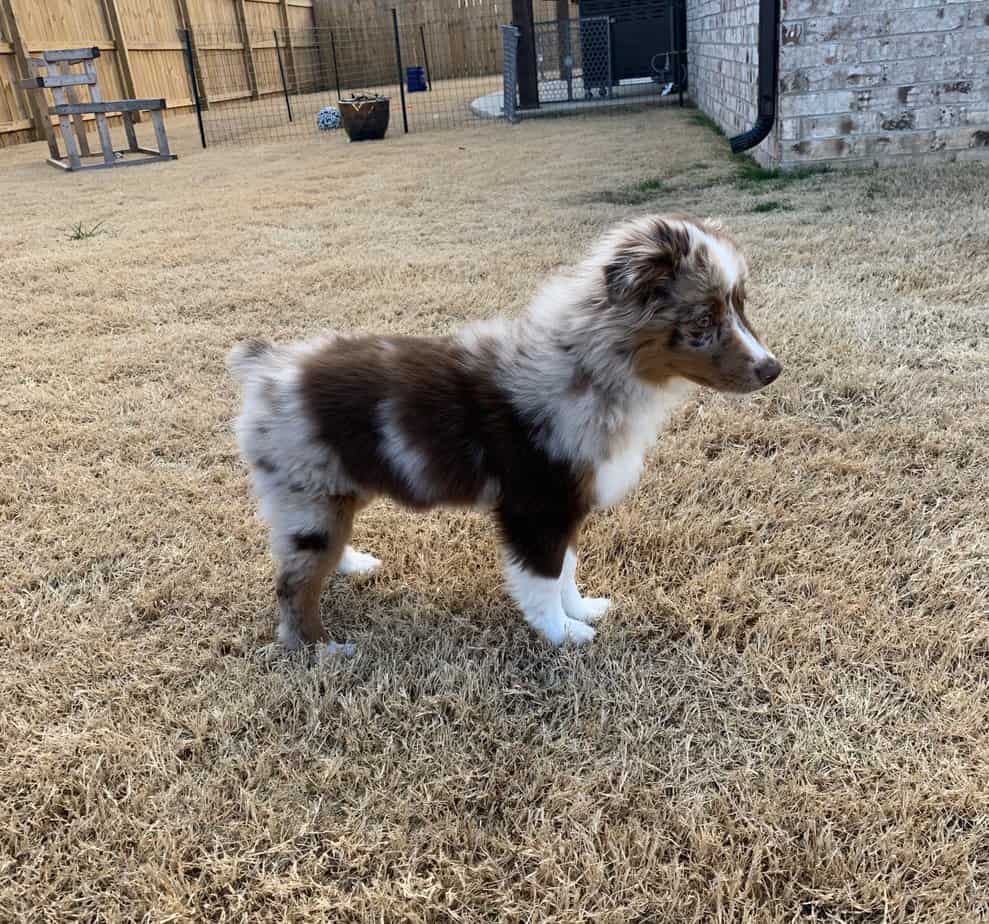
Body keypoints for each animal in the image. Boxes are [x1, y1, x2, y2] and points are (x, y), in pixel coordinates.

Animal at [230, 215, 780, 648]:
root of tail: (267, 369)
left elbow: (566, 569)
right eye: (703, 321)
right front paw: (563, 634)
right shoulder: (536, 506)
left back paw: (351, 565)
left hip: (336, 487)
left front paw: (582, 610)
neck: (591, 364)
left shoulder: (568, 504)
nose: (773, 370)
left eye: (741, 307)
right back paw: (321, 649)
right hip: (310, 497)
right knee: (293, 583)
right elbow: (542, 578)